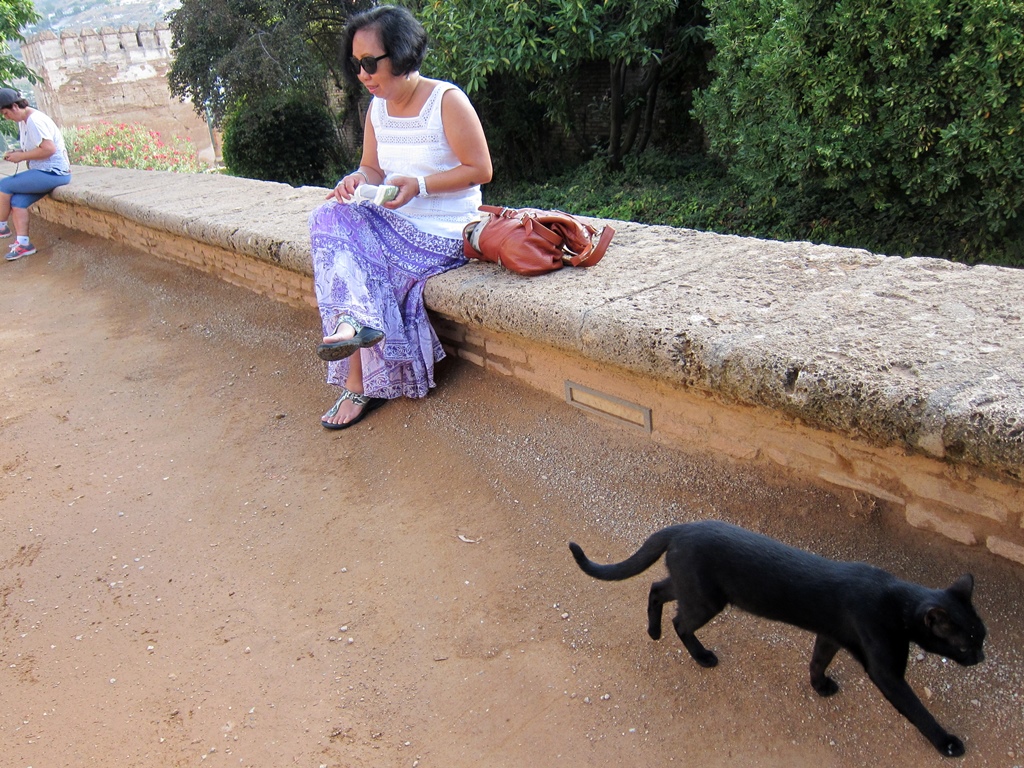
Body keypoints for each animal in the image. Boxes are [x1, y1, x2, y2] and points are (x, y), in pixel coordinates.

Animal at [569, 520, 983, 761]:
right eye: (965, 645)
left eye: (983, 638)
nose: (979, 658)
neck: (895, 601)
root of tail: (683, 527)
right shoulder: (886, 670)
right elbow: (918, 711)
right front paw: (947, 743)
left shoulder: (831, 635)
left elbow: (818, 659)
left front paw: (820, 686)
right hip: (706, 600)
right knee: (680, 622)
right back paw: (702, 656)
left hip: (694, 589)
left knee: (656, 589)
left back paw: (652, 632)